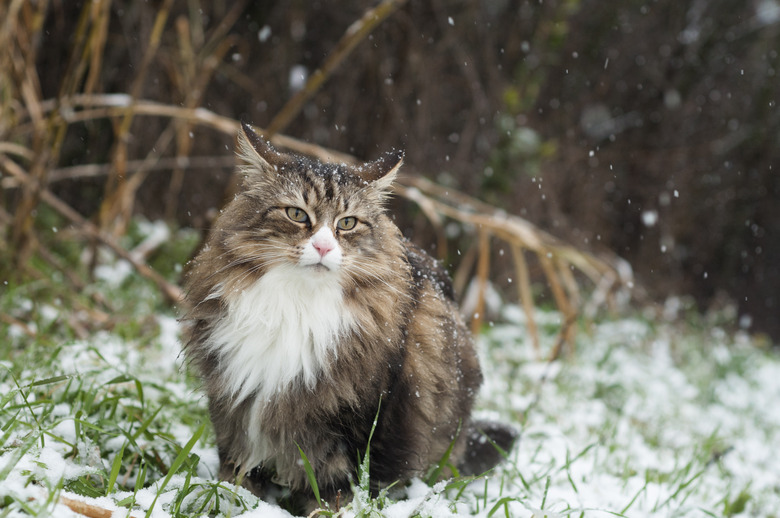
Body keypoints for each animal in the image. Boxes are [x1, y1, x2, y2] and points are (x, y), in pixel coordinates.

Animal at [180, 122, 516, 516]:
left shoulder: (356, 419)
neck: (296, 305)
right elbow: (237, 475)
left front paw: (325, 510)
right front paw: (233, 504)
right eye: (297, 214)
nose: (324, 247)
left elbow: (335, 487)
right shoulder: (233, 402)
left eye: (348, 223)